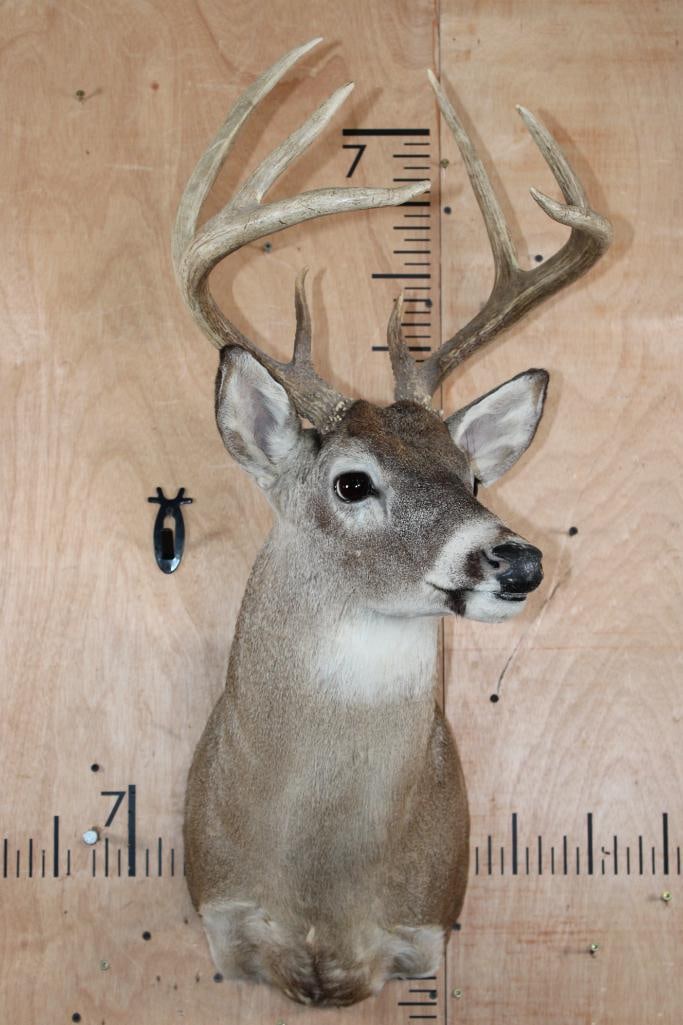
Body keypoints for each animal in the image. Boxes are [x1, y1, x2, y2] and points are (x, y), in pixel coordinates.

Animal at [174, 38, 611, 1009]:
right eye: (350, 482)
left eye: (473, 473)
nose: (516, 561)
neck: (319, 883)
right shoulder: (223, 923)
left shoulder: (423, 928)